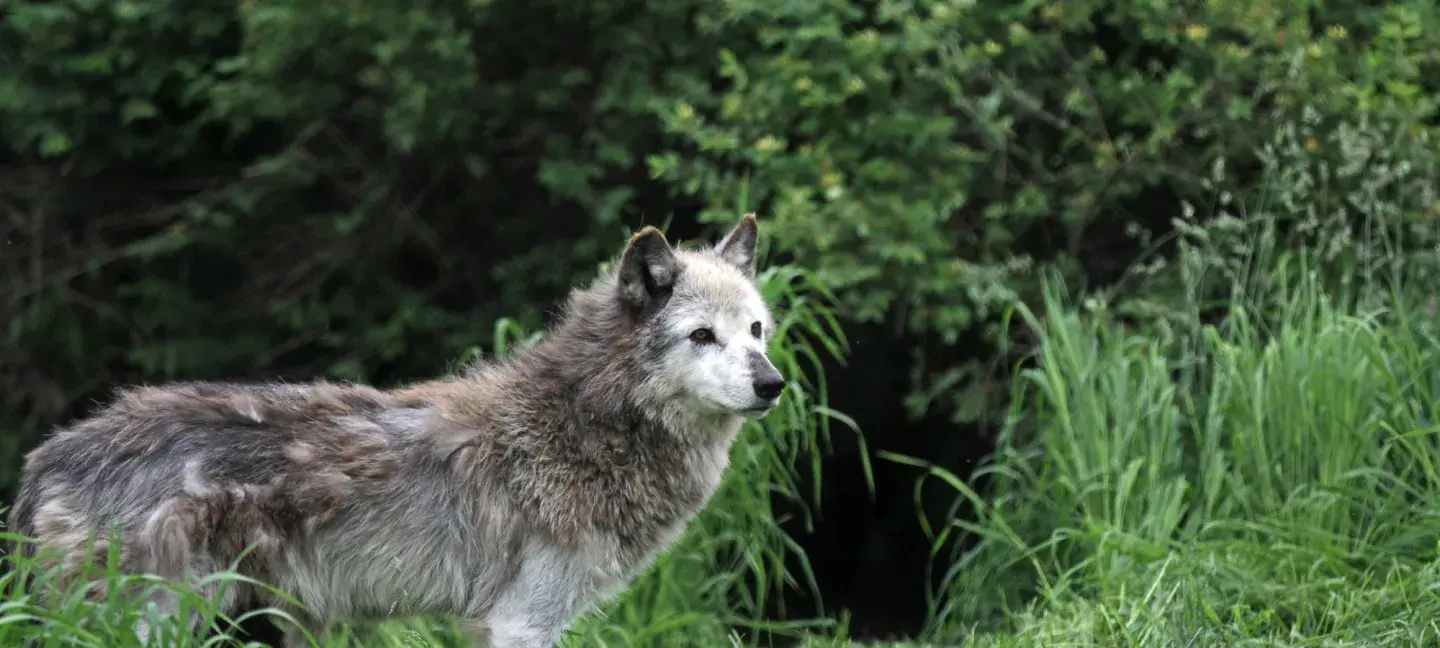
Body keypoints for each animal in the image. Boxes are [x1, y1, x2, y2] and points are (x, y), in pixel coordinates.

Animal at [6, 213, 786, 647]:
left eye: (756, 331)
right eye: (701, 336)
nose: (773, 384)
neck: (581, 425)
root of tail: (47, 454)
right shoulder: (523, 622)